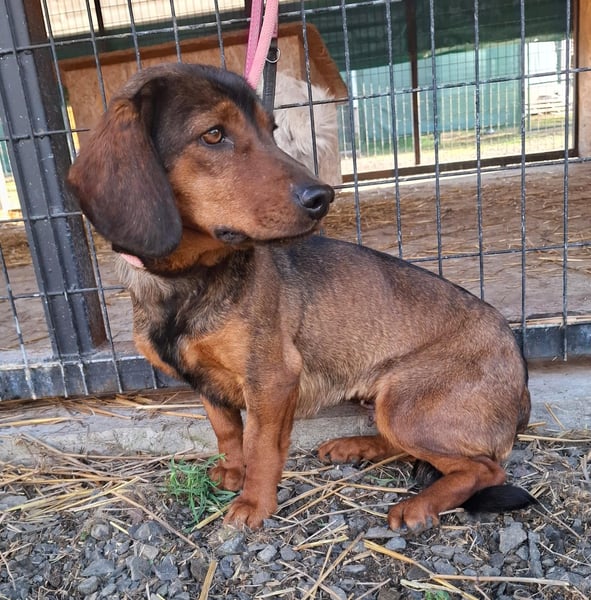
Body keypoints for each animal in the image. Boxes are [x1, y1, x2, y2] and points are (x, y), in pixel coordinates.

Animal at [68, 63, 534, 532]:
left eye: (271, 129)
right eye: (214, 134)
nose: (323, 197)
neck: (188, 281)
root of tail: (520, 372)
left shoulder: (272, 380)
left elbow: (260, 446)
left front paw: (254, 502)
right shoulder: (207, 383)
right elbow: (227, 431)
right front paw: (232, 472)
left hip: (404, 405)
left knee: (483, 469)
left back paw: (418, 505)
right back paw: (356, 446)